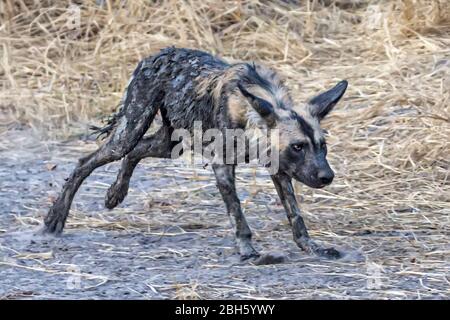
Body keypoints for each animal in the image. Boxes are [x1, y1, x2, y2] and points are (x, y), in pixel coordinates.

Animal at [44, 47, 348, 260]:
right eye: (298, 147)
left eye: (323, 146)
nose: (327, 177)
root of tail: (153, 55)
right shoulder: (223, 167)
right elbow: (238, 215)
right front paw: (247, 251)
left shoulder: (280, 170)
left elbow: (296, 217)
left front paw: (312, 247)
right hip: (128, 133)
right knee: (87, 161)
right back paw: (55, 217)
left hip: (169, 144)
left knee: (136, 152)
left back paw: (115, 192)